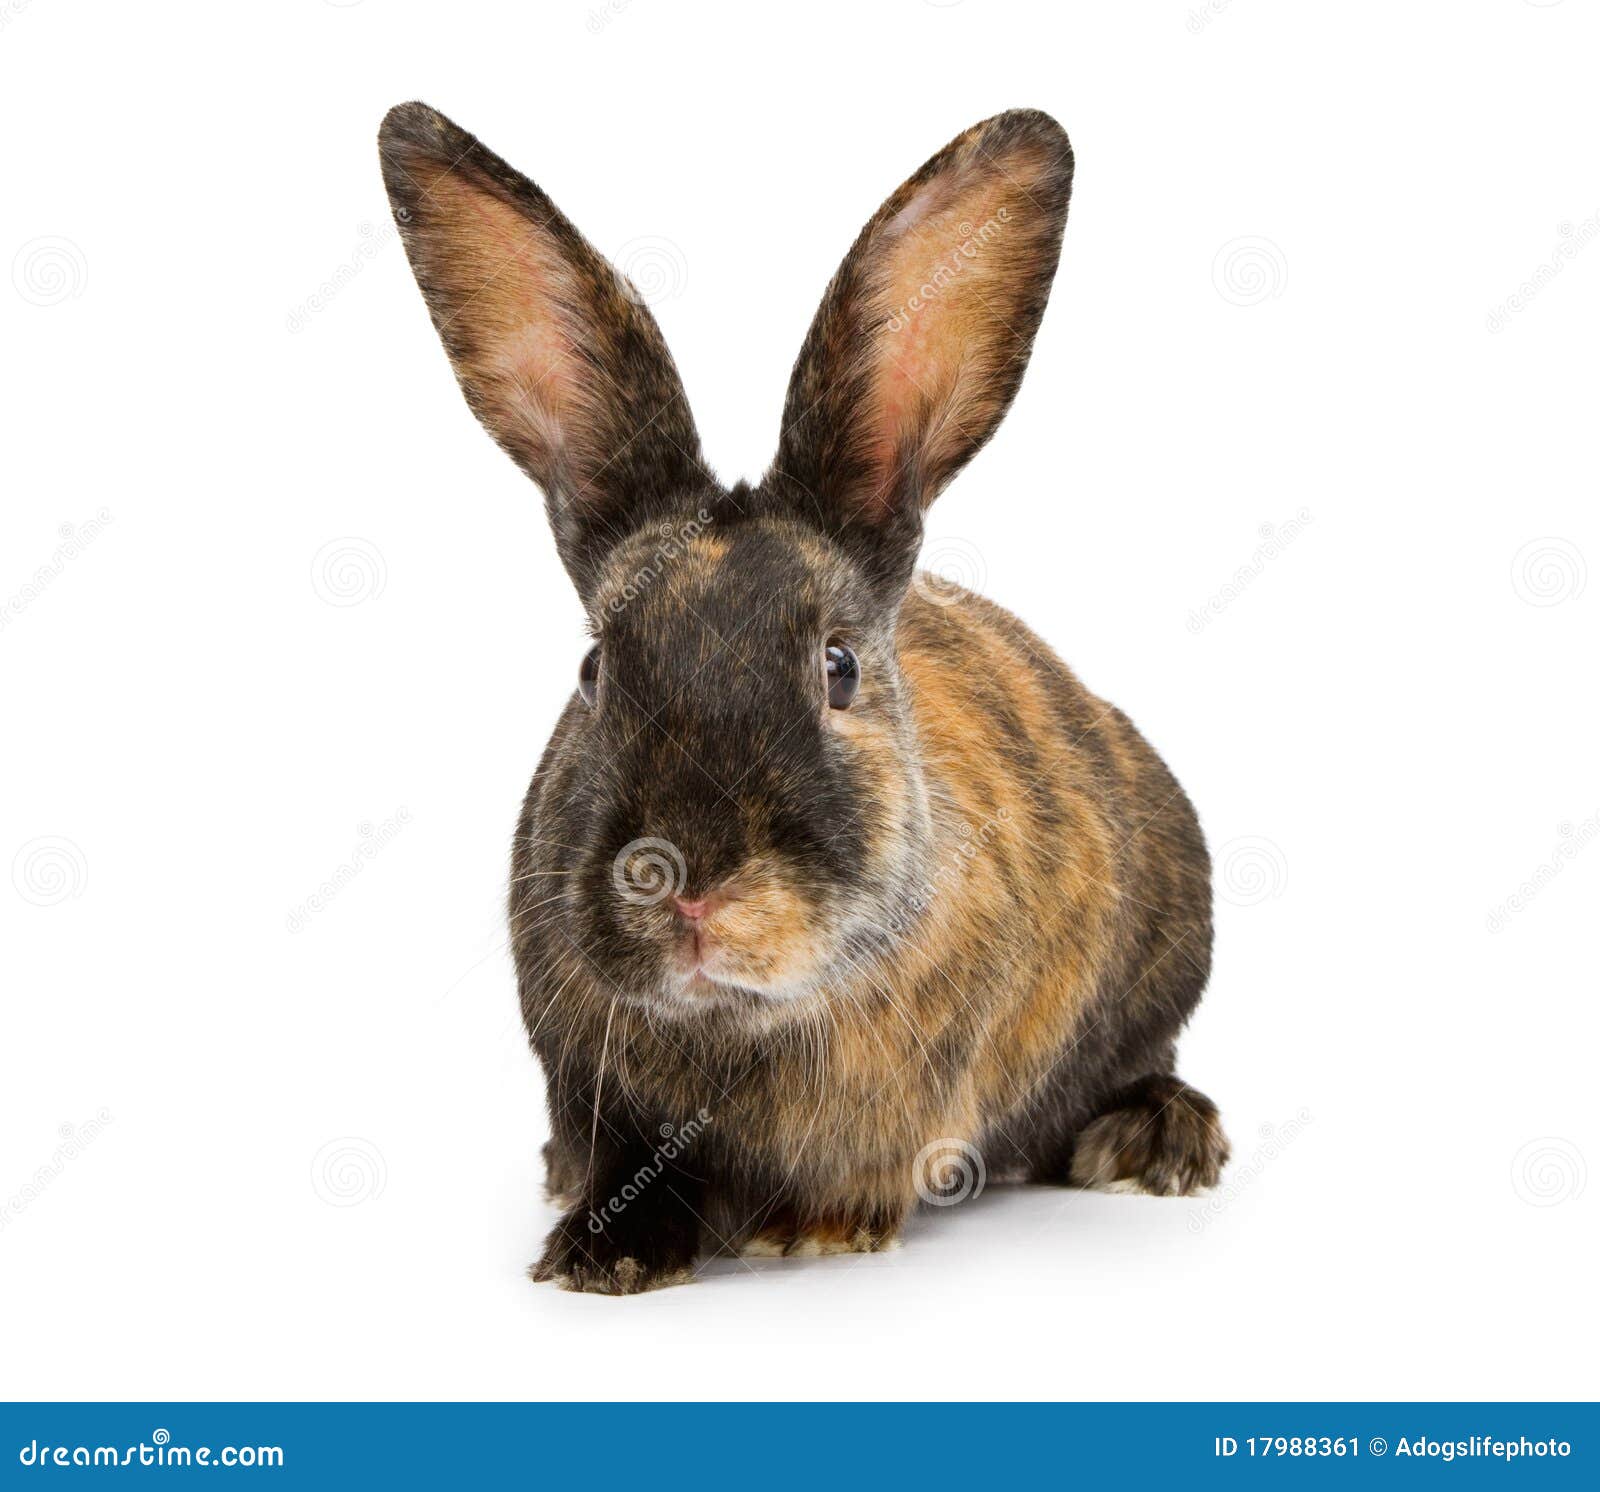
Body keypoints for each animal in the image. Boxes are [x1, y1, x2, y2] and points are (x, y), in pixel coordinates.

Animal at [379, 101, 1228, 1294]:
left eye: (839, 665)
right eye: (595, 671)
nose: (681, 882)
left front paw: (808, 1231)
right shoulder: (591, 1086)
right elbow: (622, 1162)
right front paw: (602, 1250)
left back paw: (1156, 1141)